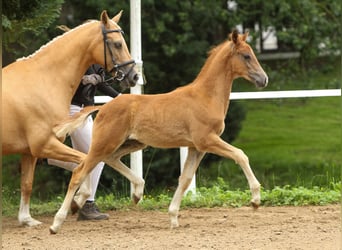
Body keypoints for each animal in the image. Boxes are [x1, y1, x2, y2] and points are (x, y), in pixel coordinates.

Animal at [1, 10, 138, 228]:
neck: (43, 81)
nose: (134, 76)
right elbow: (82, 162)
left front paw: (27, 219)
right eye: (117, 44)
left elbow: (27, 184)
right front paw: (77, 201)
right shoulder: (44, 145)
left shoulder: (29, 151)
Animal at [49, 30, 268, 233]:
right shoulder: (207, 140)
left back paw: (135, 193)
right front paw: (256, 200)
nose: (263, 79)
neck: (205, 96)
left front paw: (173, 217)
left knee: (109, 160)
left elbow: (185, 179)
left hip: (131, 143)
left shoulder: (196, 147)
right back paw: (57, 222)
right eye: (246, 56)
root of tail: (102, 108)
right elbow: (240, 155)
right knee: (79, 171)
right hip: (105, 143)